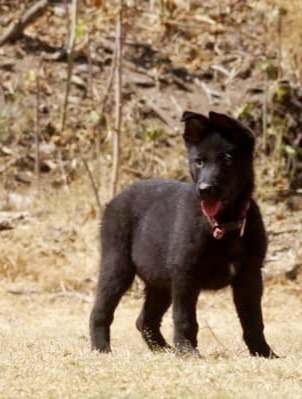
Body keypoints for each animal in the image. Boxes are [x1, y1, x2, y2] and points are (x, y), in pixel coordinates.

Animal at [89, 111, 276, 358]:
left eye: (227, 160)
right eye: (199, 161)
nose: (204, 190)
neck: (223, 225)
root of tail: (117, 198)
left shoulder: (250, 275)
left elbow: (253, 319)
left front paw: (263, 352)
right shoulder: (185, 274)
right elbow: (185, 318)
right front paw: (187, 350)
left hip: (160, 279)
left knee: (144, 319)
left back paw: (162, 349)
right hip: (117, 264)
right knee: (101, 310)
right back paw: (101, 348)